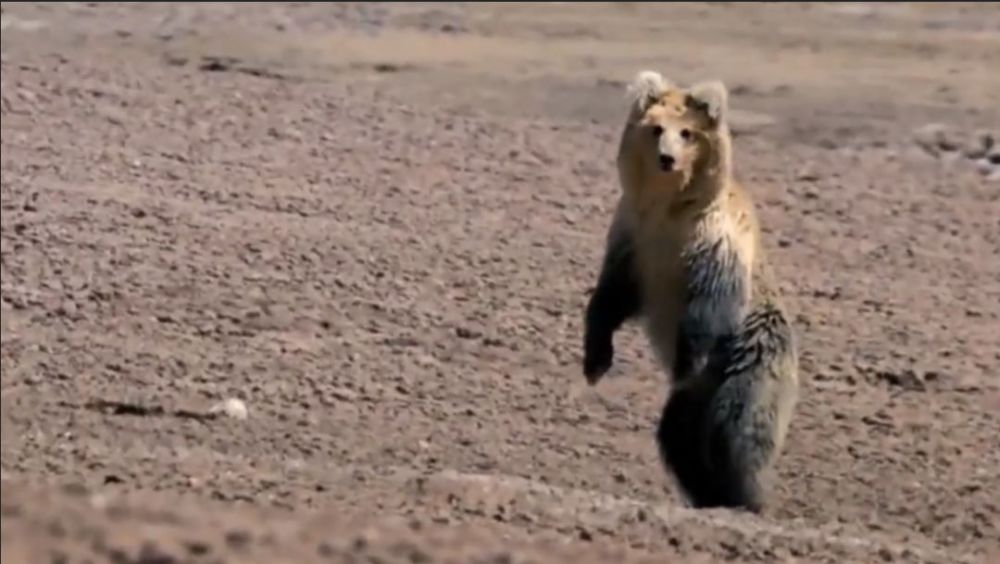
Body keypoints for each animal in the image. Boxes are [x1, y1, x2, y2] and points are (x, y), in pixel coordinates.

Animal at [584, 69, 800, 512]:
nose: (666, 158)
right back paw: (709, 494)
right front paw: (595, 361)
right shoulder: (633, 239)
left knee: (736, 431)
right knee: (680, 441)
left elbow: (707, 305)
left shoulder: (715, 245)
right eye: (655, 128)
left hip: (748, 362)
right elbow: (611, 297)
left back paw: (747, 498)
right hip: (691, 406)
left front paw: (685, 361)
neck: (668, 210)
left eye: (687, 132)